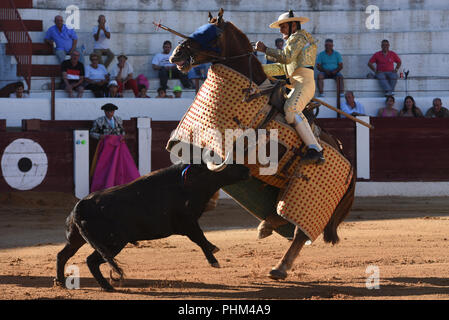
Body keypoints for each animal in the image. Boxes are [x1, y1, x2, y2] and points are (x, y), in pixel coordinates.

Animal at [54, 164, 250, 292]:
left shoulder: (189, 224)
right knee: (91, 261)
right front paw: (213, 260)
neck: (188, 184)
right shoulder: (188, 223)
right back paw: (108, 287)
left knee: (63, 255)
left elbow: (201, 239)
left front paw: (213, 249)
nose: (246, 170)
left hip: (76, 239)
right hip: (114, 243)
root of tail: (81, 205)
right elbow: (200, 238)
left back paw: (61, 282)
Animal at [168, 8, 354, 280]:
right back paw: (266, 226)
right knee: (280, 214)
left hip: (307, 199)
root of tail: (350, 165)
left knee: (299, 234)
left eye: (211, 34)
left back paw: (280, 267)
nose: (176, 54)